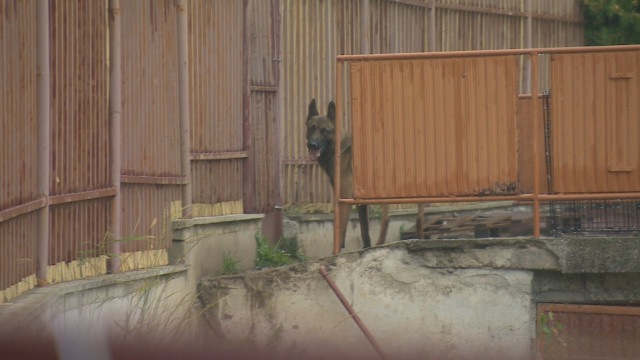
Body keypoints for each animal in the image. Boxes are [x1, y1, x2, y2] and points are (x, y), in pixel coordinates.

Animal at [304, 100, 376, 249]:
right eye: (312, 128)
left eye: (324, 131)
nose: (312, 145)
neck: (337, 150)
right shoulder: (361, 203)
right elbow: (365, 231)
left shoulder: (344, 196)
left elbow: (340, 229)